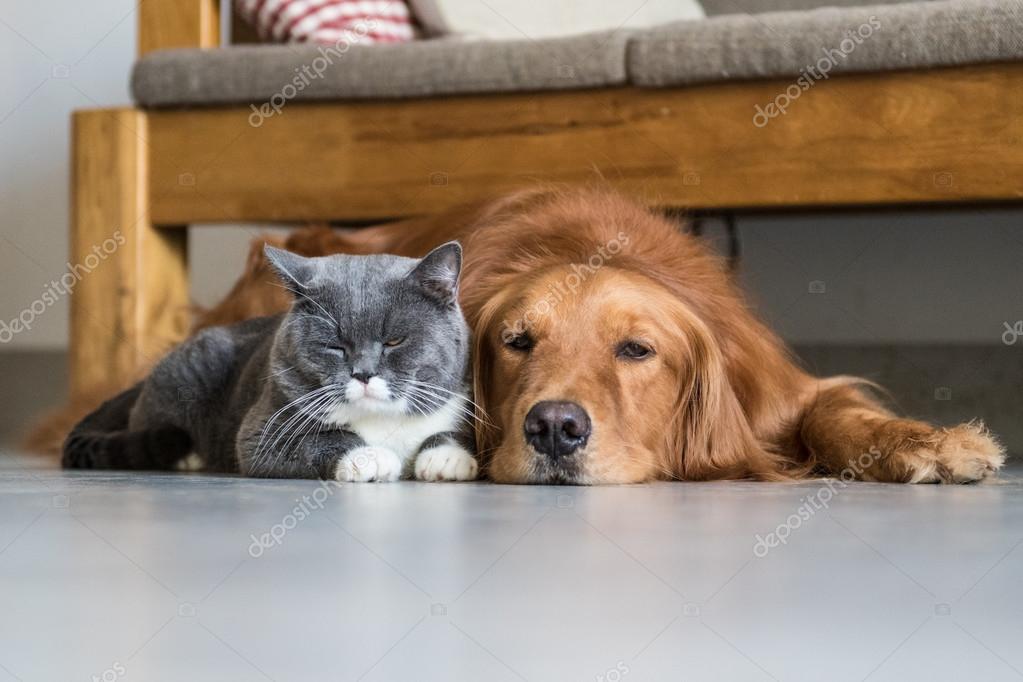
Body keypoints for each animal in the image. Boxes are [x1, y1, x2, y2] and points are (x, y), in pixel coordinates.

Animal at [61, 242, 476, 482]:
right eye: (335, 347)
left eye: (394, 341)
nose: (363, 373)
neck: (382, 422)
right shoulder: (263, 428)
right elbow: (322, 439)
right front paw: (369, 457)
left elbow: (452, 430)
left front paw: (448, 458)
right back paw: (188, 458)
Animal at [192, 187, 1006, 484]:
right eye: (516, 341)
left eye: (636, 350)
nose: (554, 429)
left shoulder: (778, 390)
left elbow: (838, 411)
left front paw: (928, 444)